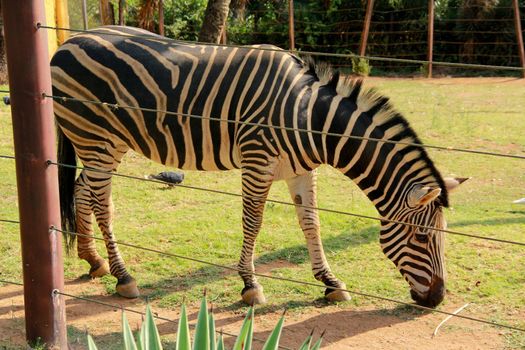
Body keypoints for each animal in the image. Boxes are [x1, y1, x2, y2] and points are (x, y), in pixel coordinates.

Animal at [52, 26, 462, 306]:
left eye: (443, 235)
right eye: (422, 237)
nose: (437, 299)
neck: (307, 117)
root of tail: (67, 43)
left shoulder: (300, 169)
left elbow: (311, 223)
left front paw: (330, 282)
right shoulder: (257, 159)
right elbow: (253, 221)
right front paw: (250, 286)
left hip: (104, 143)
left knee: (82, 190)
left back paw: (93, 261)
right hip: (94, 137)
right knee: (102, 204)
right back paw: (123, 277)